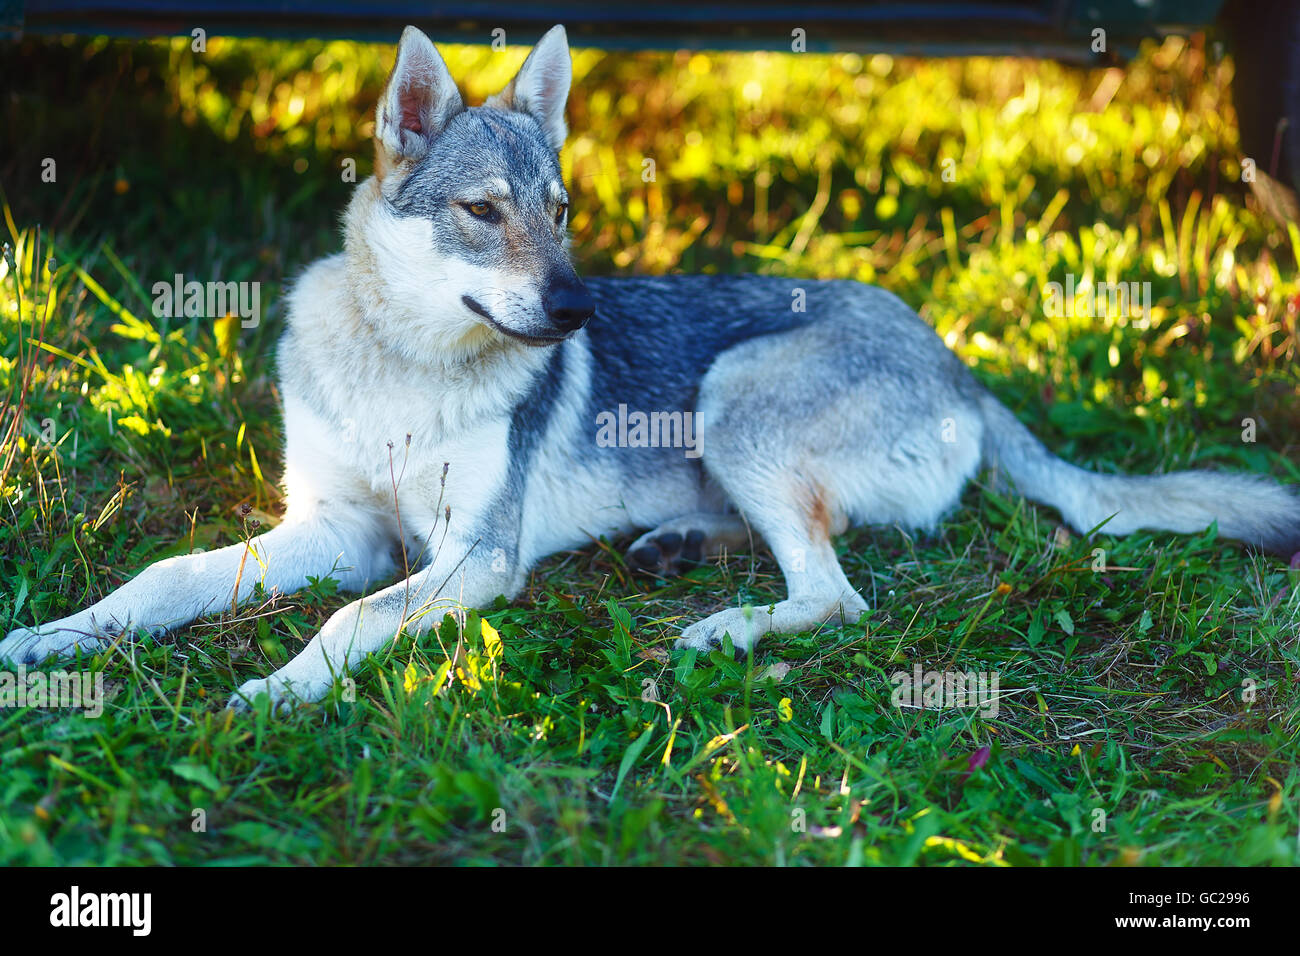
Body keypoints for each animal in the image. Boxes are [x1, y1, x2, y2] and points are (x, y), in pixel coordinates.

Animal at [3, 25, 1298, 711]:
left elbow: (347, 621)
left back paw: (722, 626)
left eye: (563, 211)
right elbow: (164, 579)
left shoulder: (469, 559)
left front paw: (277, 690)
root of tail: (959, 362)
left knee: (835, 592)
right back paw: (676, 546)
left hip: (735, 404)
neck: (403, 368)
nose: (578, 307)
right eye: (485, 211)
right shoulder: (335, 525)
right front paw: (57, 639)